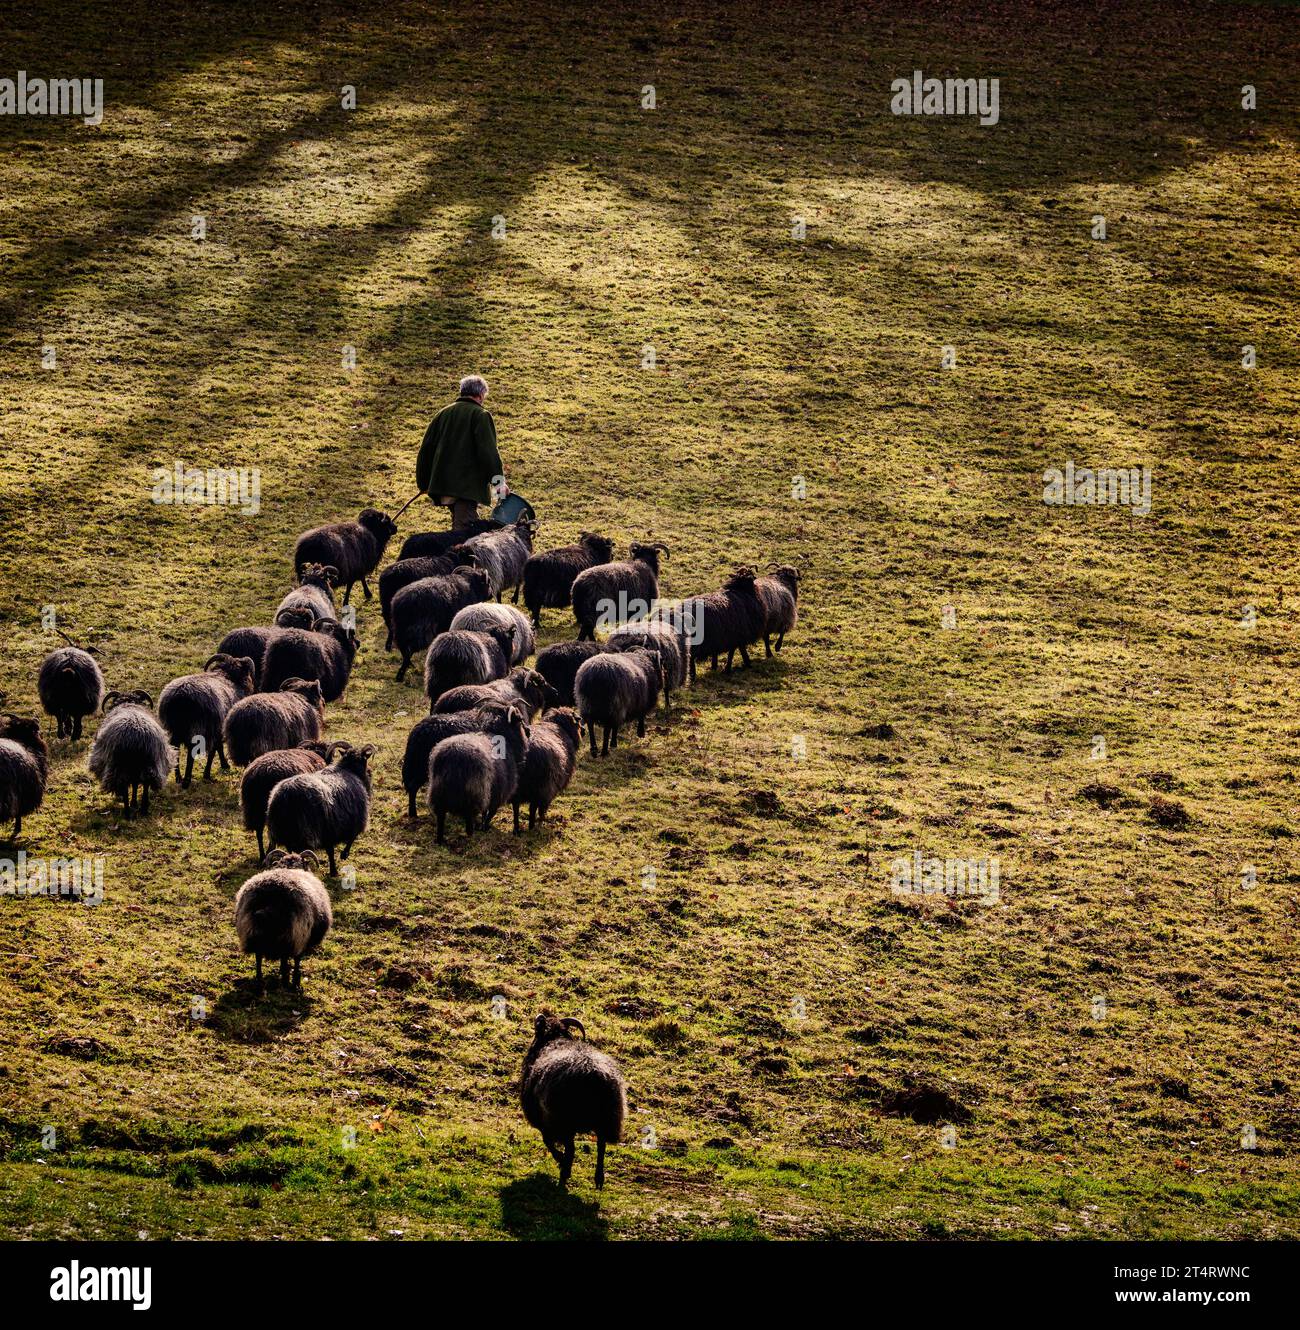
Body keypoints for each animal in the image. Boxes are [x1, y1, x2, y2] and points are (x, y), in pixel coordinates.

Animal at [158, 653, 257, 787]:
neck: (229, 676)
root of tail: (180, 696)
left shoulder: (219, 729)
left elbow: (219, 747)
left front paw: (224, 764)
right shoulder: (215, 729)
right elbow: (214, 751)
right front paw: (207, 774)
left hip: (174, 728)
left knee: (175, 748)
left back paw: (178, 777)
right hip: (198, 727)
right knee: (191, 752)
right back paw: (187, 780)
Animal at [233, 850, 332, 990]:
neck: (290, 867)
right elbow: (295, 959)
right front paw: (293, 979)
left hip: (251, 931)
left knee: (258, 956)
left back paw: (259, 980)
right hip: (295, 935)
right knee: (289, 957)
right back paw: (290, 981)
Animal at [265, 742, 375, 875]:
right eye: (365, 760)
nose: (370, 772)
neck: (349, 769)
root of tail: (286, 796)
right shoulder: (352, 821)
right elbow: (348, 840)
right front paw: (338, 863)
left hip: (284, 831)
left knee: (290, 849)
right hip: (305, 832)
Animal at [427, 703, 530, 842]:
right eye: (520, 719)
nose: (528, 732)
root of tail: (454, 756)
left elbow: (486, 813)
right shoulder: (498, 794)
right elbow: (490, 814)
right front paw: (484, 828)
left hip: (438, 792)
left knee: (441, 817)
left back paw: (440, 840)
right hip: (475, 793)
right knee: (469, 817)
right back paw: (470, 836)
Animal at [520, 1012, 626, 1189]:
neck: (553, 1041)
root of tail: (593, 1074)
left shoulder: (543, 1119)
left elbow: (547, 1140)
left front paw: (560, 1160)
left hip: (565, 1121)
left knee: (571, 1148)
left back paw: (565, 1173)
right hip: (607, 1119)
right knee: (601, 1145)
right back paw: (599, 1178)